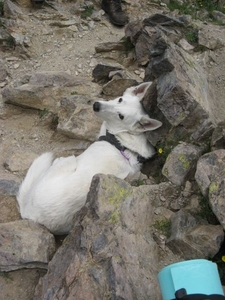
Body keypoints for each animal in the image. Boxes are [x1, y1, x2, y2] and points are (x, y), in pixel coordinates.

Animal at [17, 82, 162, 234]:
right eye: (120, 99)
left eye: (121, 116)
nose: (96, 105)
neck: (123, 142)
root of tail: (29, 214)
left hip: (67, 160)